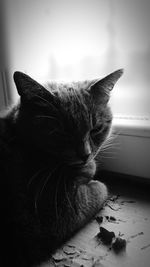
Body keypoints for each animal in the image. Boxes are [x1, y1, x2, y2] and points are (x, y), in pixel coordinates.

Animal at [0, 68, 123, 266]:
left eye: (96, 129)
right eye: (61, 133)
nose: (85, 154)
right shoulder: (53, 215)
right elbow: (100, 188)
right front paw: (94, 179)